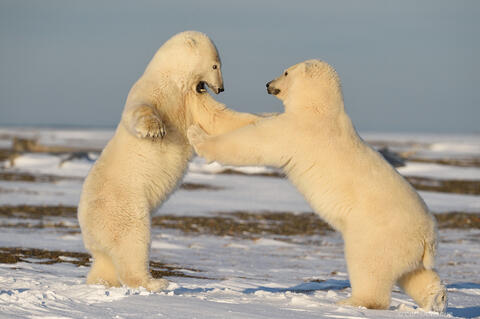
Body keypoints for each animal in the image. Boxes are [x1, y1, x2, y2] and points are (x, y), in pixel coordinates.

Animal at [79, 30, 260, 292]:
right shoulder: (155, 90)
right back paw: (155, 282)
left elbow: (219, 119)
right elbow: (140, 109)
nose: (222, 88)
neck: (175, 81)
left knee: (106, 261)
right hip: (124, 205)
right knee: (132, 242)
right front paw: (155, 130)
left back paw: (101, 281)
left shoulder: (192, 100)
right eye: (215, 65)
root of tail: (85, 223)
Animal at [187, 59, 446, 312]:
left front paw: (197, 134)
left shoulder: (296, 132)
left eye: (285, 71)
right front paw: (199, 93)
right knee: (416, 274)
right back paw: (436, 300)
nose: (268, 84)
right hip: (405, 249)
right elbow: (243, 120)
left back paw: (352, 301)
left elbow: (250, 142)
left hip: (378, 235)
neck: (321, 110)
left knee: (369, 268)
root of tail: (428, 238)